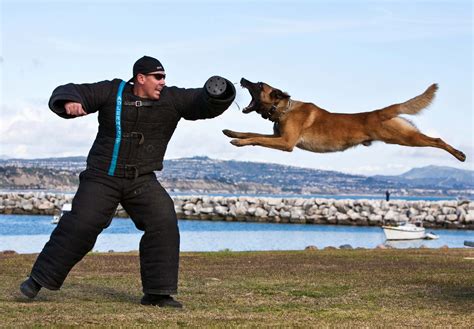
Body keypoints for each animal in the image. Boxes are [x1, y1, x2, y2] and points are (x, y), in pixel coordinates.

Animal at [223, 79, 466, 162]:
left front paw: (239, 142)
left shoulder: (286, 143)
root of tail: (381, 111)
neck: (284, 109)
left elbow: (256, 139)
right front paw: (232, 134)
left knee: (436, 140)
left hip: (405, 138)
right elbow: (251, 133)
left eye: (259, 85)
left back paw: (459, 154)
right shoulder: (279, 137)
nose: (242, 78)